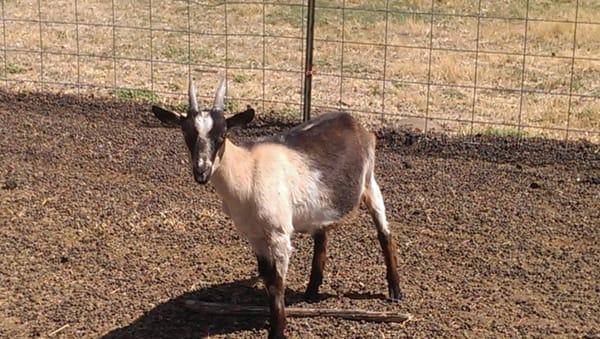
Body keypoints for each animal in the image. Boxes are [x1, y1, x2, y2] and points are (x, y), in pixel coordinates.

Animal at [151, 79, 404, 339]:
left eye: (222, 134)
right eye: (186, 133)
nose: (201, 171)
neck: (246, 170)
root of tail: (353, 121)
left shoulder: (279, 234)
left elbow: (277, 282)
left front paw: (277, 330)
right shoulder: (255, 236)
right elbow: (266, 276)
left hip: (369, 181)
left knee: (384, 232)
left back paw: (395, 291)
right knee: (322, 236)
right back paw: (311, 291)